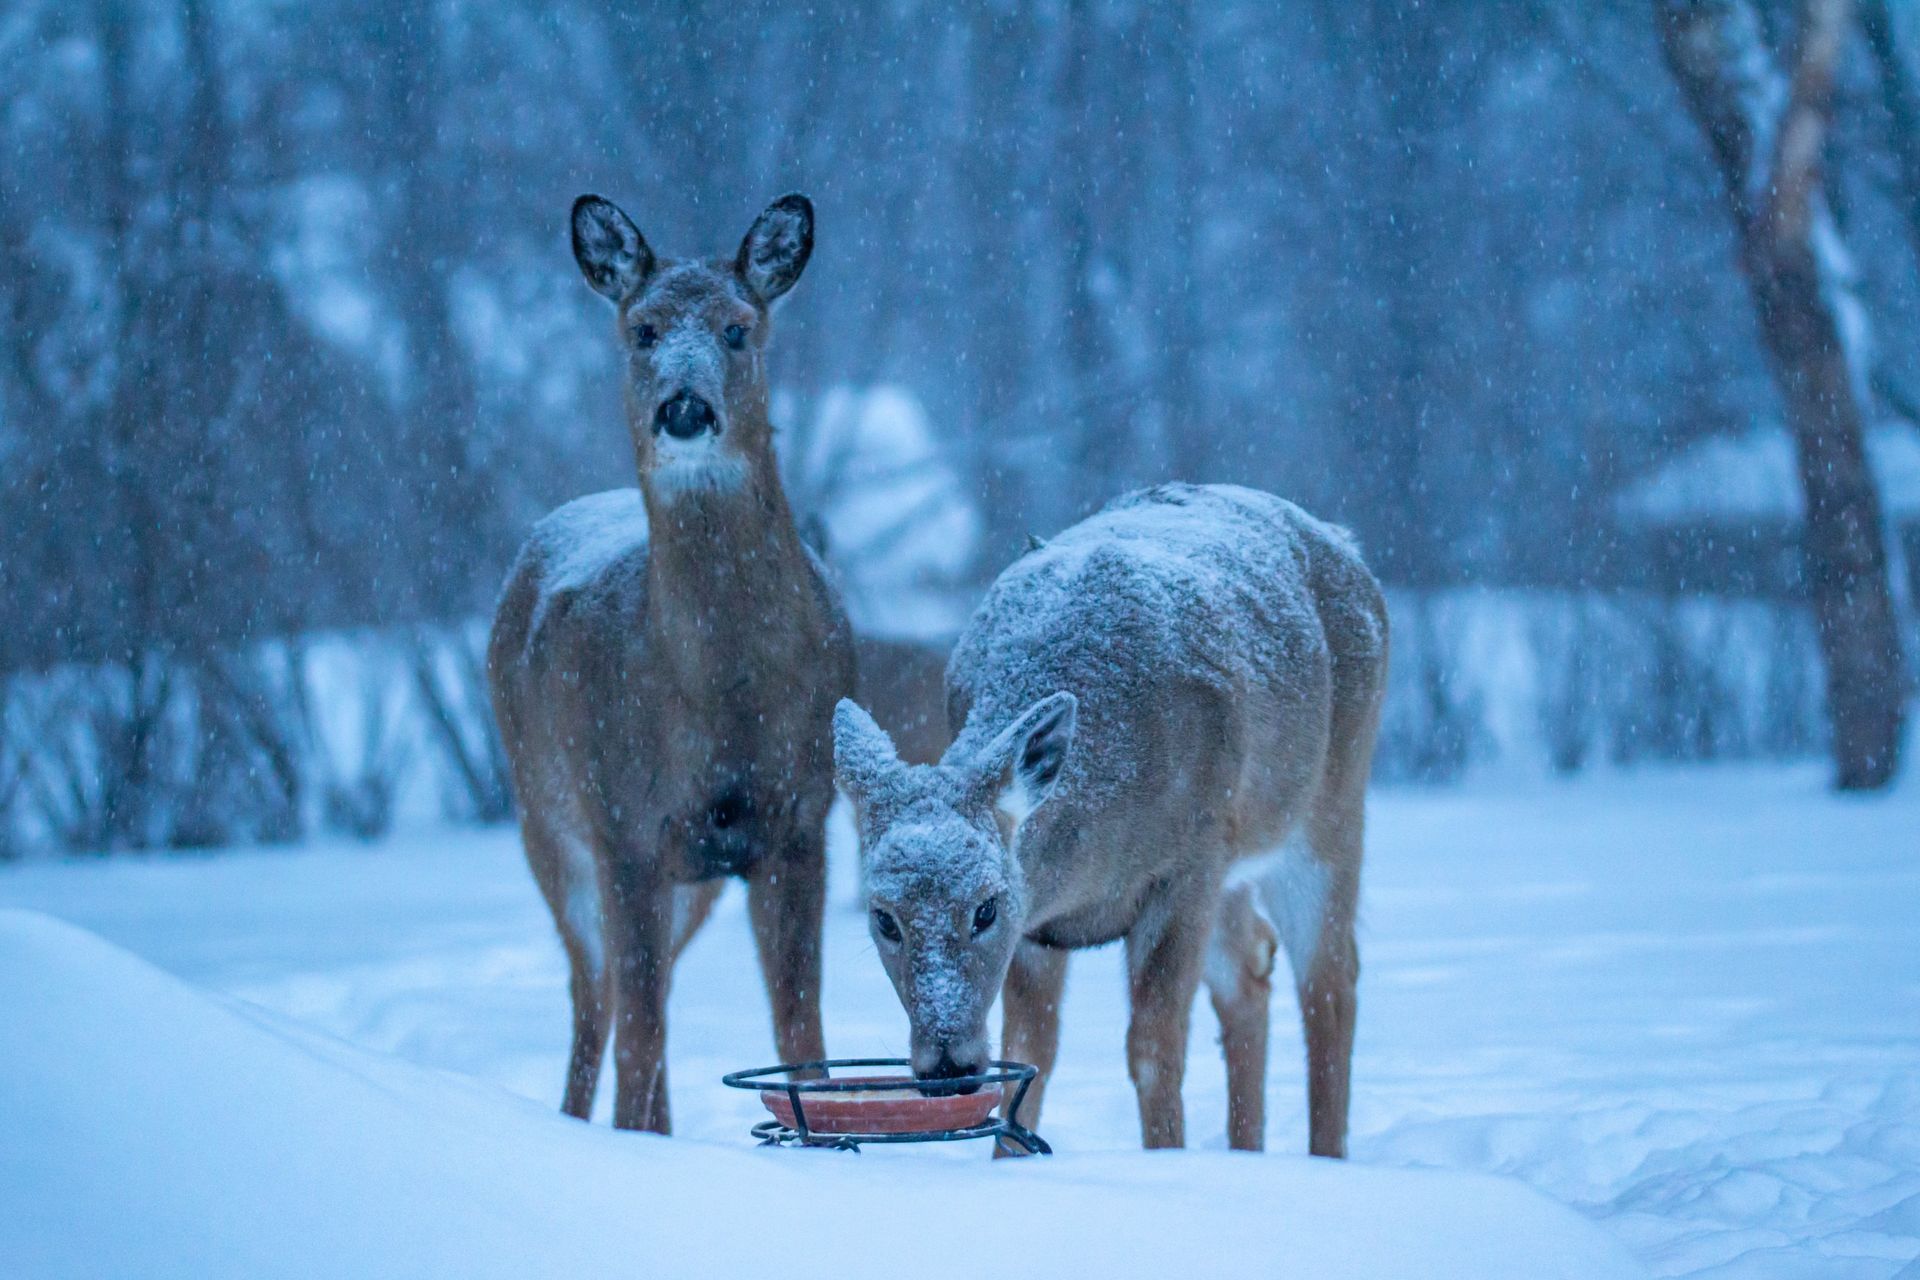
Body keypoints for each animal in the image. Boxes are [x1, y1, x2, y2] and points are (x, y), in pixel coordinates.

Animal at [487, 193, 855, 1133]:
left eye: (736, 328)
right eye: (643, 329)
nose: (685, 410)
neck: (722, 696)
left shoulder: (798, 821)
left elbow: (803, 1030)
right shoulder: (625, 823)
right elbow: (640, 1035)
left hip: (688, 881)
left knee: (637, 1000)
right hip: (547, 820)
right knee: (600, 1003)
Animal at [830, 483, 1388, 1155]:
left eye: (986, 908)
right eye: (884, 917)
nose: (948, 1068)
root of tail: (1343, 543)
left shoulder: (1188, 862)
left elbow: (1154, 1049)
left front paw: (1166, 1156)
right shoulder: (1040, 925)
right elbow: (1031, 1053)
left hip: (1329, 808)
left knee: (1331, 980)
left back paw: (1327, 1159)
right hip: (1239, 861)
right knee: (1252, 965)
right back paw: (1245, 1152)